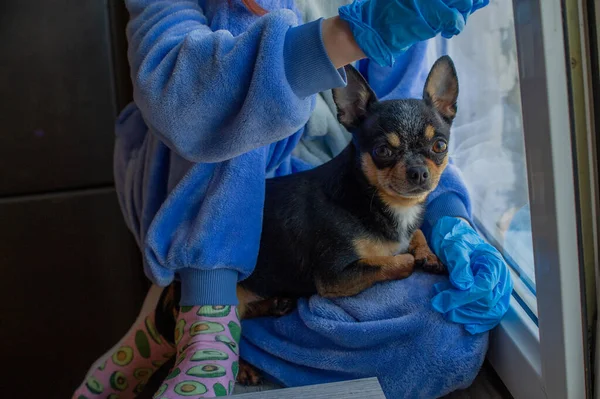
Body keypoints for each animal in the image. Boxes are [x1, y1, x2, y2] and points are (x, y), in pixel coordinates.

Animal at [151, 55, 460, 388]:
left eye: (439, 146)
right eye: (383, 151)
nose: (418, 172)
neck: (376, 199)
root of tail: (174, 283)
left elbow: (416, 235)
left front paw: (428, 254)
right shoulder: (334, 277)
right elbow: (397, 262)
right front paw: (410, 258)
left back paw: (275, 305)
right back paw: (244, 366)